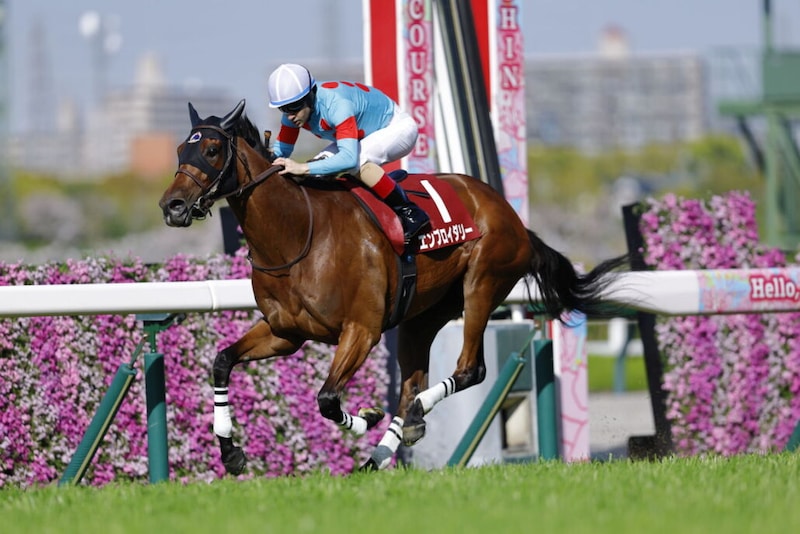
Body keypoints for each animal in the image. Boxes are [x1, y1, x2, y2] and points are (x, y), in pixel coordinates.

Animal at [159, 99, 626, 474]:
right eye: (181, 149)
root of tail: (512, 216)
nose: (172, 206)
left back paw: (408, 422)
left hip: (482, 284)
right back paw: (384, 450)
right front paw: (231, 453)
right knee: (412, 384)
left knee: (467, 370)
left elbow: (328, 398)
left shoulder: (361, 330)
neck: (298, 234)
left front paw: (366, 415)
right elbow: (222, 361)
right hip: (422, 316)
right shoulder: (284, 333)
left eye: (212, 149)